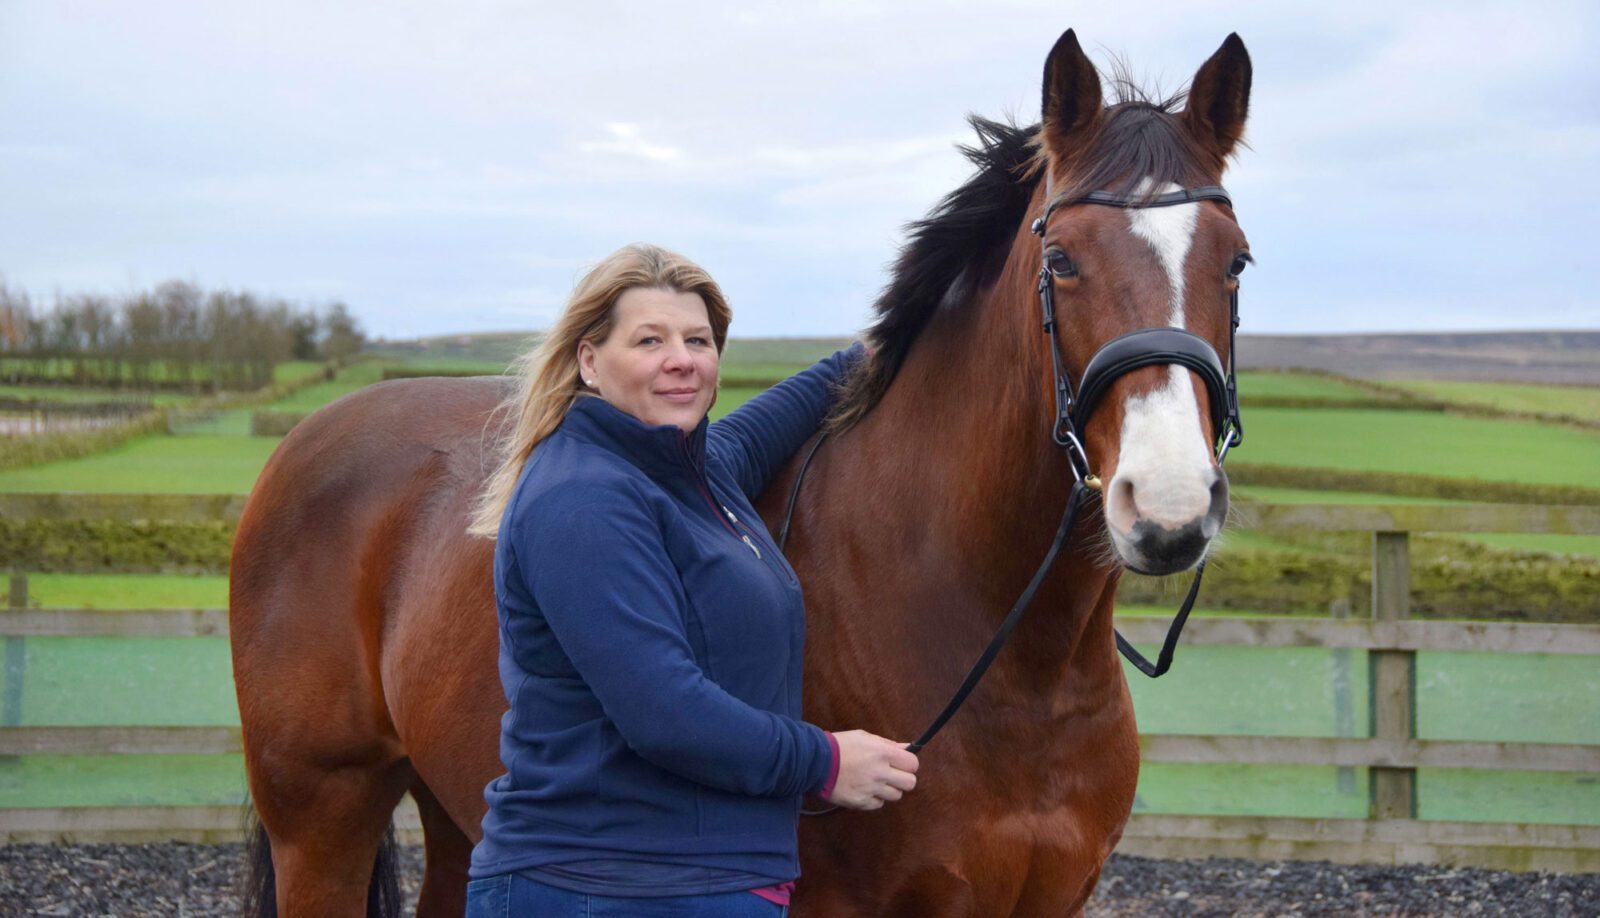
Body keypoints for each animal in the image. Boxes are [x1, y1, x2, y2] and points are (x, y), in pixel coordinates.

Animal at [232, 30, 1248, 918]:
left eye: (1235, 263)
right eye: (1060, 261)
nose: (1168, 506)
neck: (1015, 657)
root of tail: (306, 443)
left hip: (456, 808)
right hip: (322, 817)